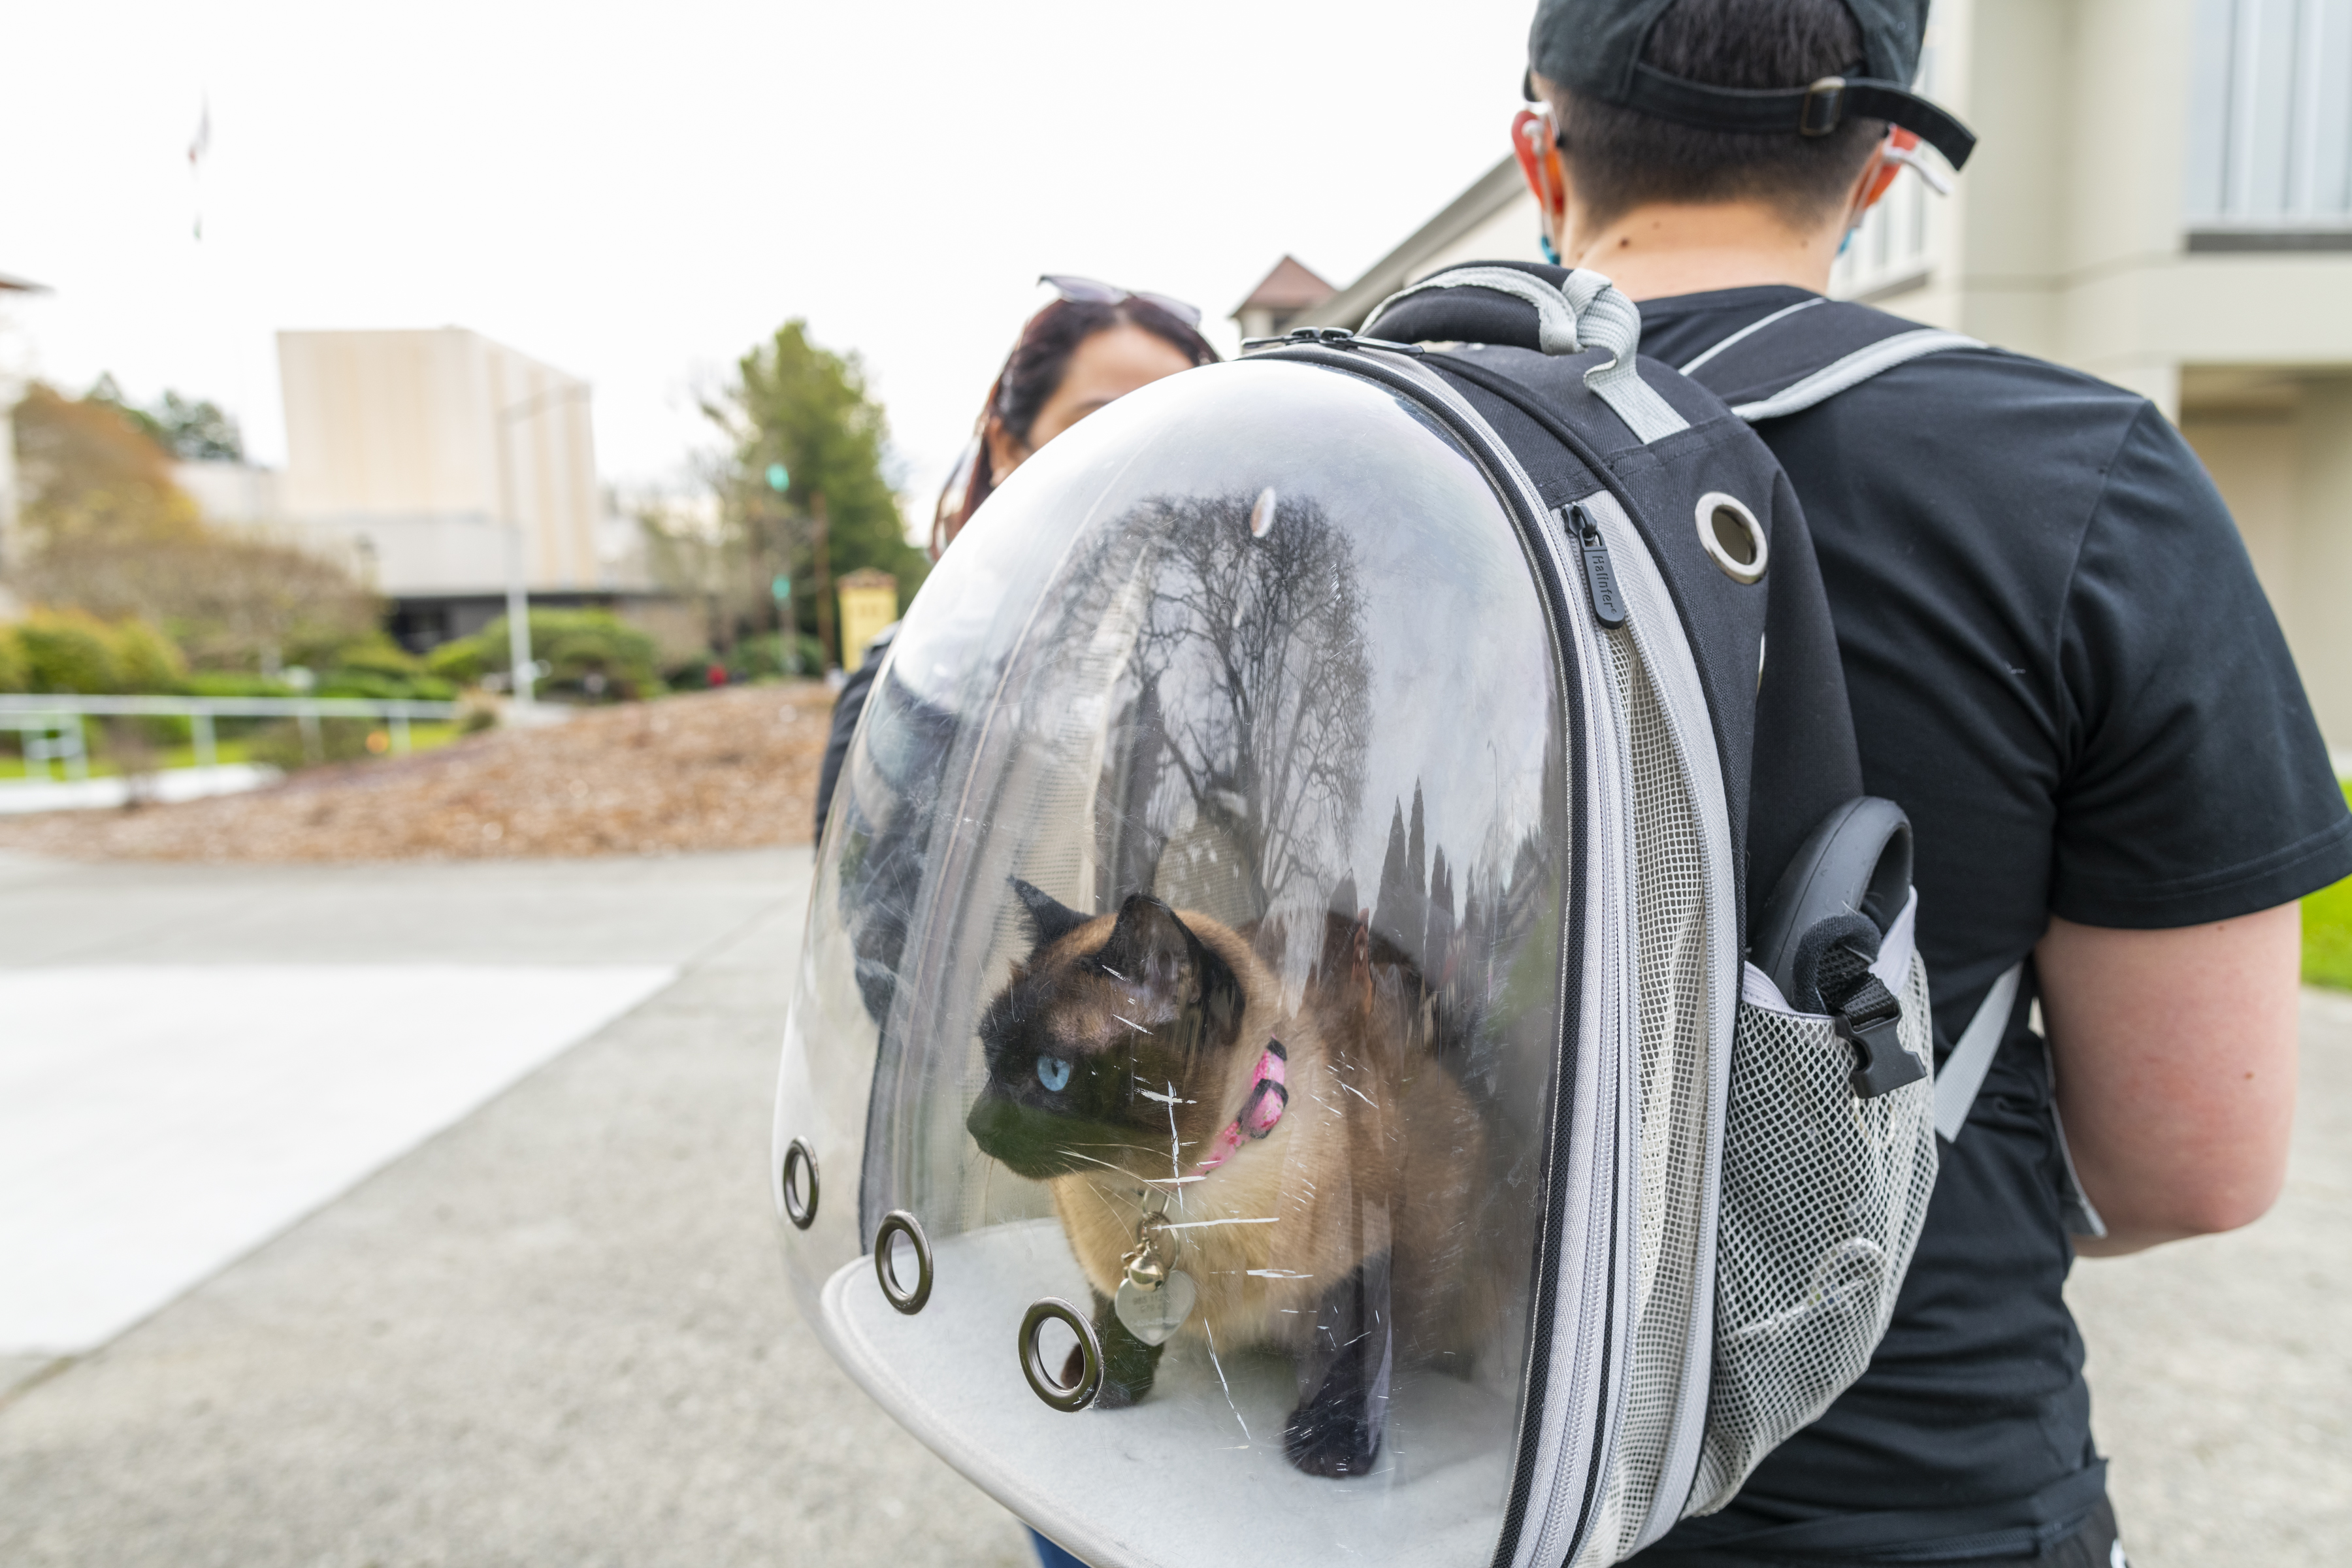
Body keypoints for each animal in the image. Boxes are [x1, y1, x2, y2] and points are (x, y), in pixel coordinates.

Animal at [959, 883, 1477, 1486]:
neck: (1169, 1188)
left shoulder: (1373, 1251)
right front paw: (1103, 1384)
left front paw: (1329, 1447)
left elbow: (1352, 1353)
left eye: (1053, 1072)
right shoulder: (1097, 1255)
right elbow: (1114, 1314)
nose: (976, 1124)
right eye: (989, 1054)